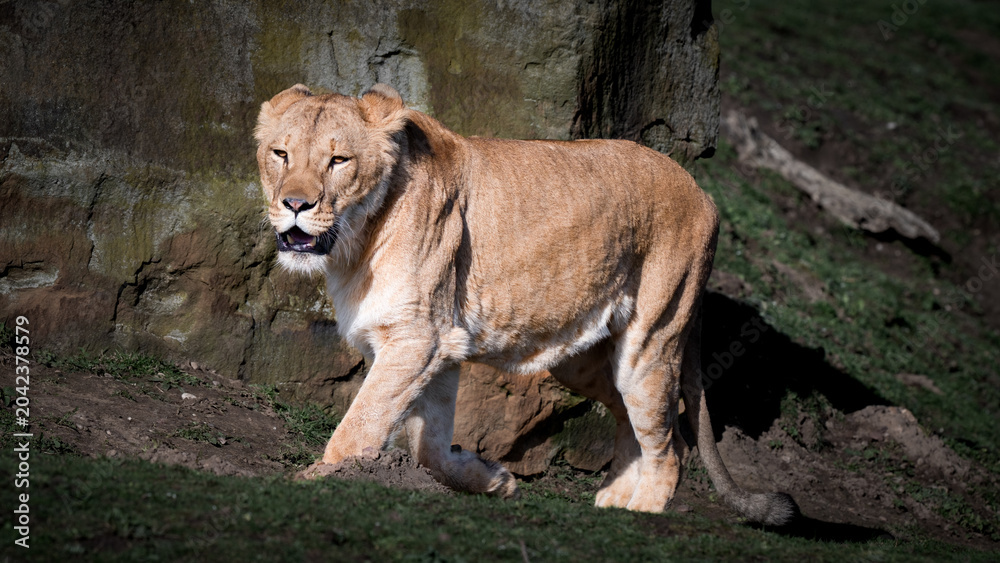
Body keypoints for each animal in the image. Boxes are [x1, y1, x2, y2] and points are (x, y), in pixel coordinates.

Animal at [254, 83, 798, 525]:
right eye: (280, 154)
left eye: (338, 161)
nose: (295, 205)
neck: (355, 241)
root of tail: (701, 190)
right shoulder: (441, 347)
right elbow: (428, 445)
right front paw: (492, 479)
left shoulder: (417, 338)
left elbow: (361, 424)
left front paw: (317, 479)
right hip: (581, 360)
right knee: (628, 417)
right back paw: (614, 502)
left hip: (651, 343)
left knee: (671, 445)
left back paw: (643, 512)